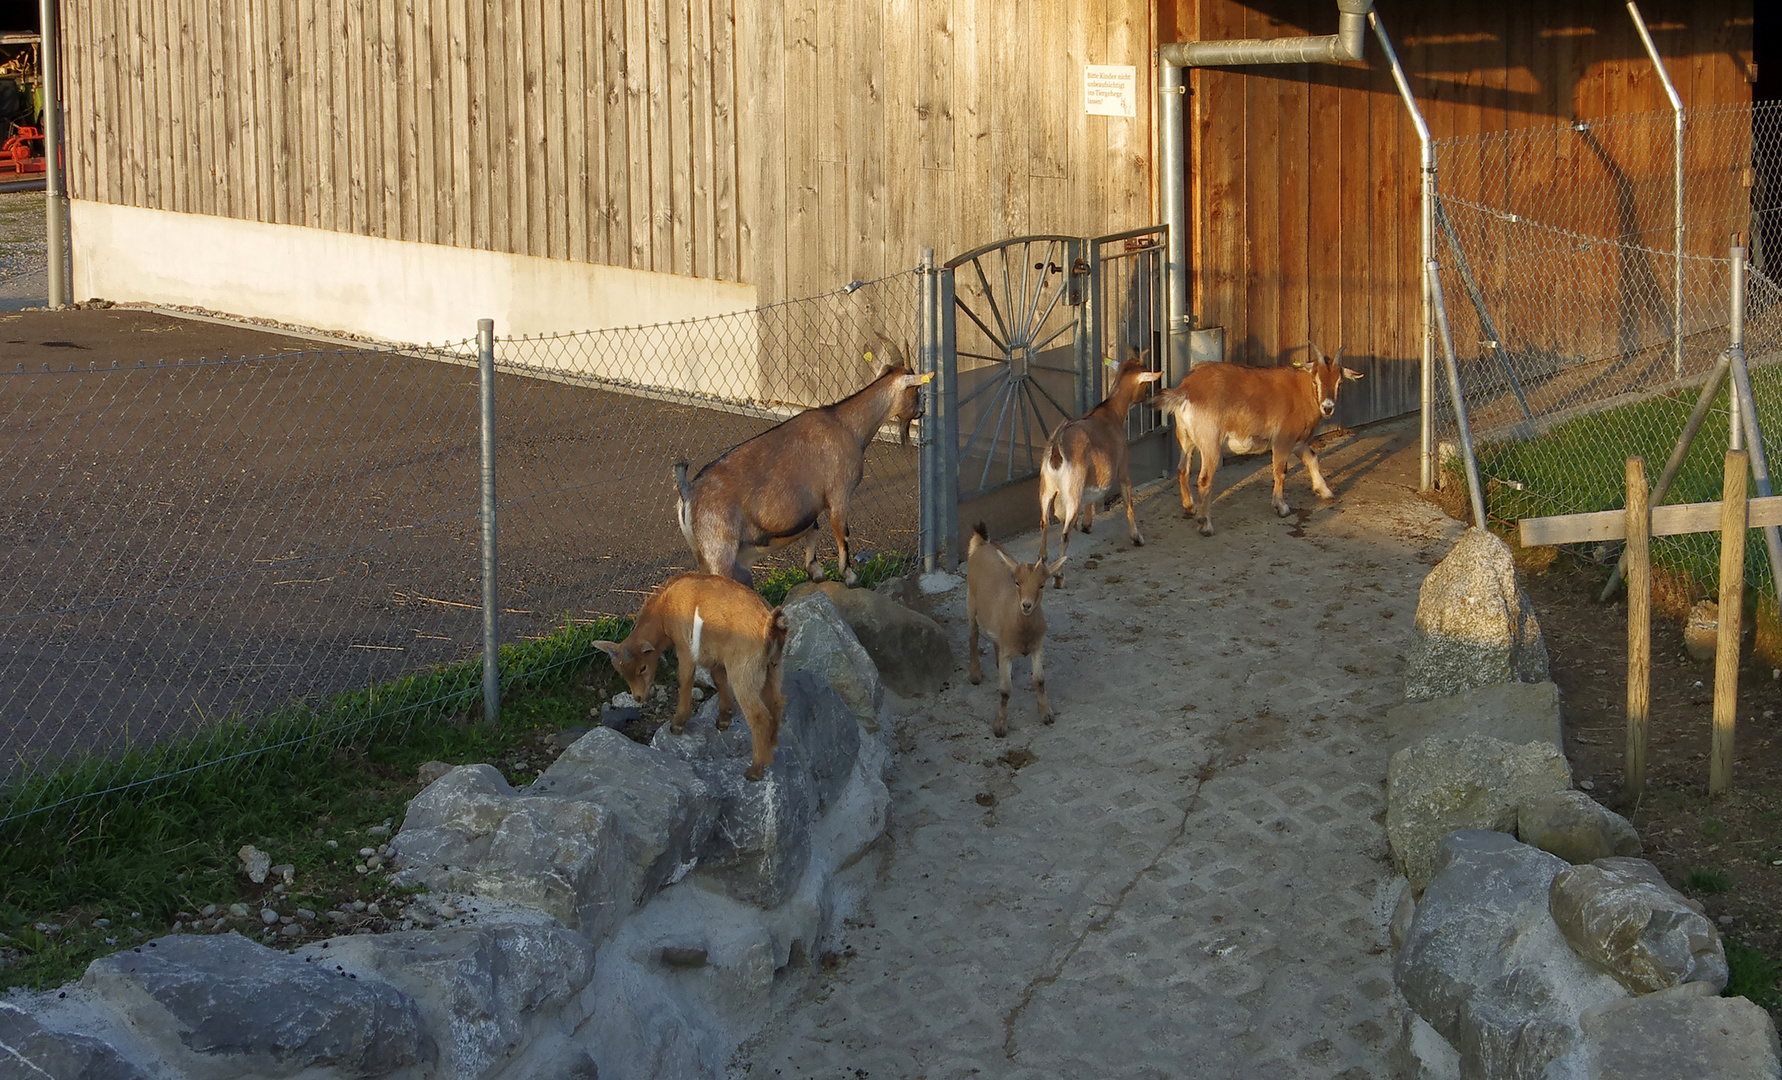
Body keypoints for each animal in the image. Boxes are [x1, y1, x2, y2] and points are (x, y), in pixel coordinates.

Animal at [591, 577, 787, 777]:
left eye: (643, 668)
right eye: (621, 672)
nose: (638, 697)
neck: (665, 608)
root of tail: (769, 626)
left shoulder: (685, 647)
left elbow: (685, 680)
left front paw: (677, 724)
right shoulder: (716, 656)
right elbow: (718, 679)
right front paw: (723, 720)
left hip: (743, 671)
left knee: (759, 716)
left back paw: (756, 769)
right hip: (773, 666)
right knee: (776, 702)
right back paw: (771, 748)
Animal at [673, 342, 933, 588]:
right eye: (916, 388)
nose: (922, 408)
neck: (846, 425)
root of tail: (688, 492)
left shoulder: (811, 505)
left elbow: (813, 531)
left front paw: (815, 571)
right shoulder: (839, 493)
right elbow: (843, 533)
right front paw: (849, 576)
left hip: (705, 555)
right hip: (719, 551)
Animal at [969, 527, 1062, 744]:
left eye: (1042, 585)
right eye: (1018, 583)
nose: (1026, 605)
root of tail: (982, 545)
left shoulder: (1037, 646)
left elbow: (1039, 680)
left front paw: (1046, 714)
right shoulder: (1008, 652)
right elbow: (1005, 691)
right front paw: (1000, 727)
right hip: (970, 601)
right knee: (973, 635)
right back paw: (975, 674)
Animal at [1033, 349, 1168, 588]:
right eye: (1145, 382)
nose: (1145, 399)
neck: (1110, 412)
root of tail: (1057, 448)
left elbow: (1092, 498)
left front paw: (1087, 525)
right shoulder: (1123, 468)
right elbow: (1128, 502)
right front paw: (1137, 537)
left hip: (1046, 489)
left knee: (1044, 523)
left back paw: (1043, 564)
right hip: (1072, 493)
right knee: (1065, 532)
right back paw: (1059, 577)